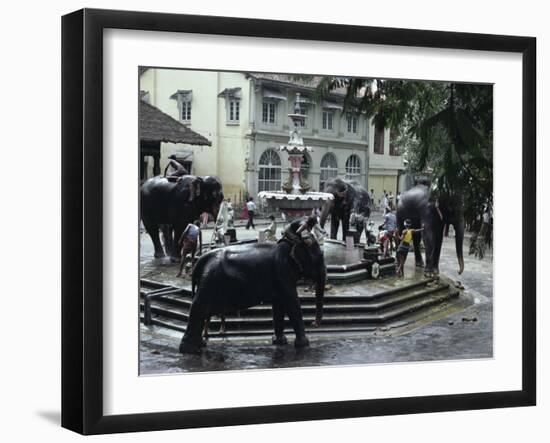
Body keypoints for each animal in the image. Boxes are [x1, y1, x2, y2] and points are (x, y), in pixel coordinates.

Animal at [179, 217, 328, 356]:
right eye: (320, 256)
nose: (314, 324)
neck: (289, 245)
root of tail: (201, 260)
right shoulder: (283, 272)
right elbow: (292, 302)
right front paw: (303, 345)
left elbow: (279, 305)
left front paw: (279, 342)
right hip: (210, 280)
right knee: (199, 308)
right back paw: (192, 350)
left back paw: (200, 345)